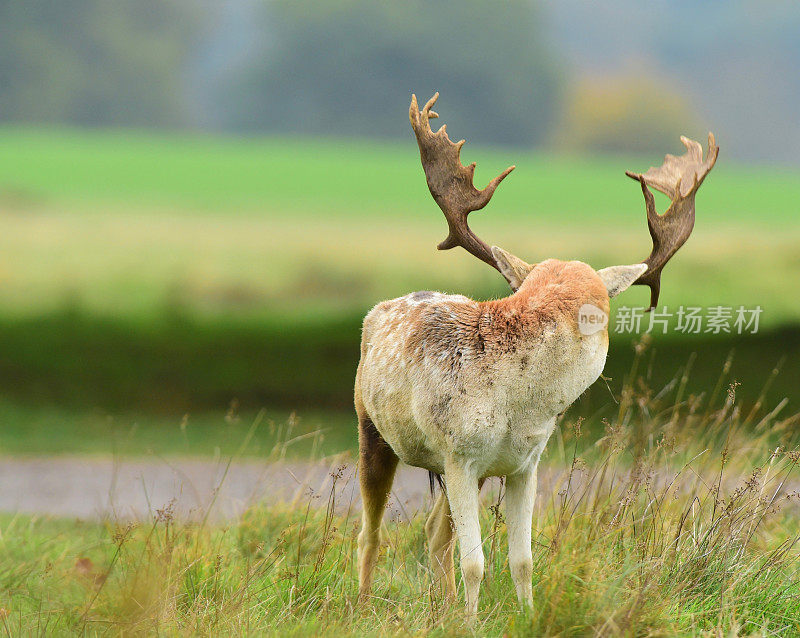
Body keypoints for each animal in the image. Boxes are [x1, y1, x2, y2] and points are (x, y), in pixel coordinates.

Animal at [356, 92, 720, 616]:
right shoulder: (459, 453)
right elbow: (476, 562)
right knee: (371, 533)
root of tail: (377, 311)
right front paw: (473, 623)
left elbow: (522, 560)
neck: (520, 408)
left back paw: (441, 605)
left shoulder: (523, 464)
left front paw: (524, 615)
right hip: (373, 428)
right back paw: (360, 607)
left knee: (433, 533)